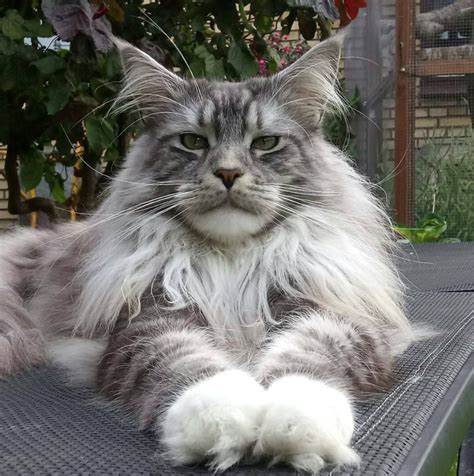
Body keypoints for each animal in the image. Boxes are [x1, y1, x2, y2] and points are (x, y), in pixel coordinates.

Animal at [0, 35, 414, 474]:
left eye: (265, 143)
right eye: (193, 142)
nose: (228, 172)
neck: (232, 261)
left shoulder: (330, 312)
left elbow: (309, 359)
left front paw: (297, 423)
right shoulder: (150, 319)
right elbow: (186, 364)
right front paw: (222, 419)